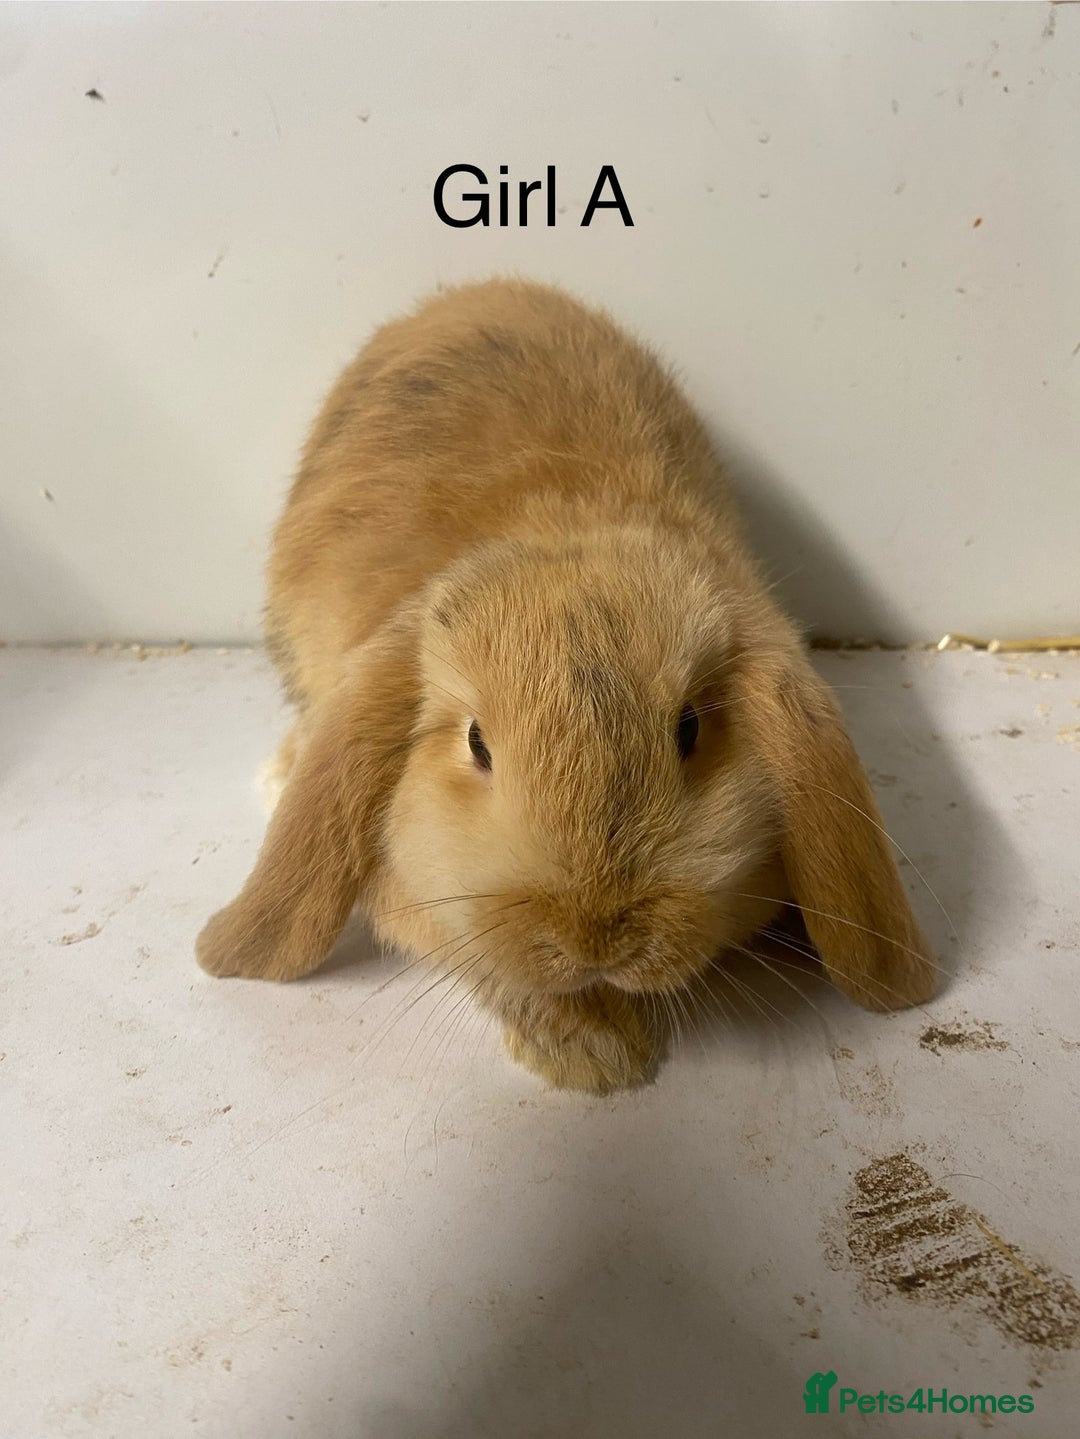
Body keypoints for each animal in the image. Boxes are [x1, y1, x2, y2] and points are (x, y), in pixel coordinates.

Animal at [196, 277, 937, 1093]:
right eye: (476, 744)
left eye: (689, 729)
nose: (597, 940)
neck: (563, 530)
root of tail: (478, 291)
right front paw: (599, 1056)